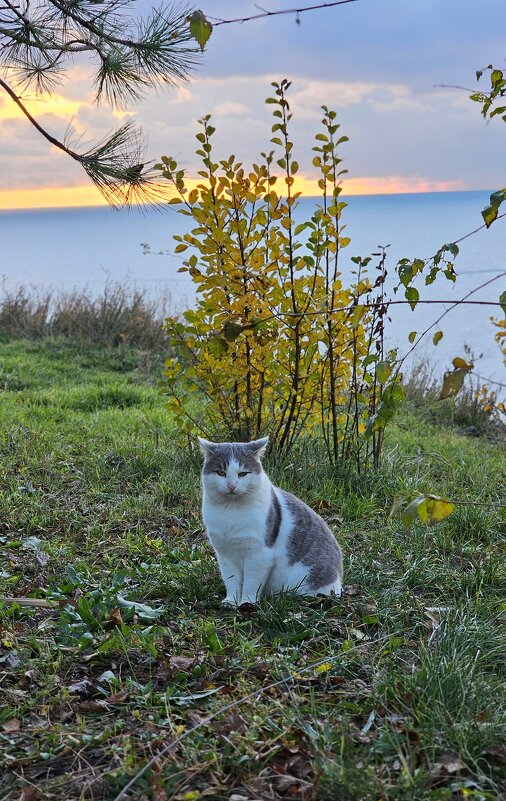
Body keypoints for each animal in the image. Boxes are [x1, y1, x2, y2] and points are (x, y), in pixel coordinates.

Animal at [198, 434, 344, 604]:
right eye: (221, 473)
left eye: (243, 473)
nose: (232, 485)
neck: (231, 511)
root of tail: (339, 581)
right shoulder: (224, 554)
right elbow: (232, 580)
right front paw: (231, 602)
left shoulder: (259, 554)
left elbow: (251, 583)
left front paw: (246, 603)